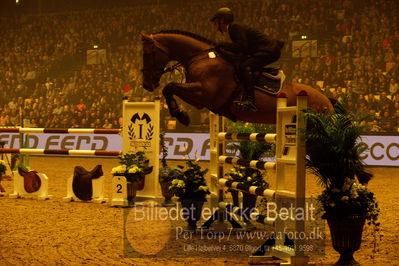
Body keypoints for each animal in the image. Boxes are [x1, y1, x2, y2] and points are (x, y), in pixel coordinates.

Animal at [141, 31, 334, 125]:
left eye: (148, 54)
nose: (146, 84)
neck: (201, 57)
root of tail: (328, 101)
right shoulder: (200, 101)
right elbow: (171, 89)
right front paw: (180, 114)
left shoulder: (205, 93)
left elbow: (170, 86)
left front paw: (180, 115)